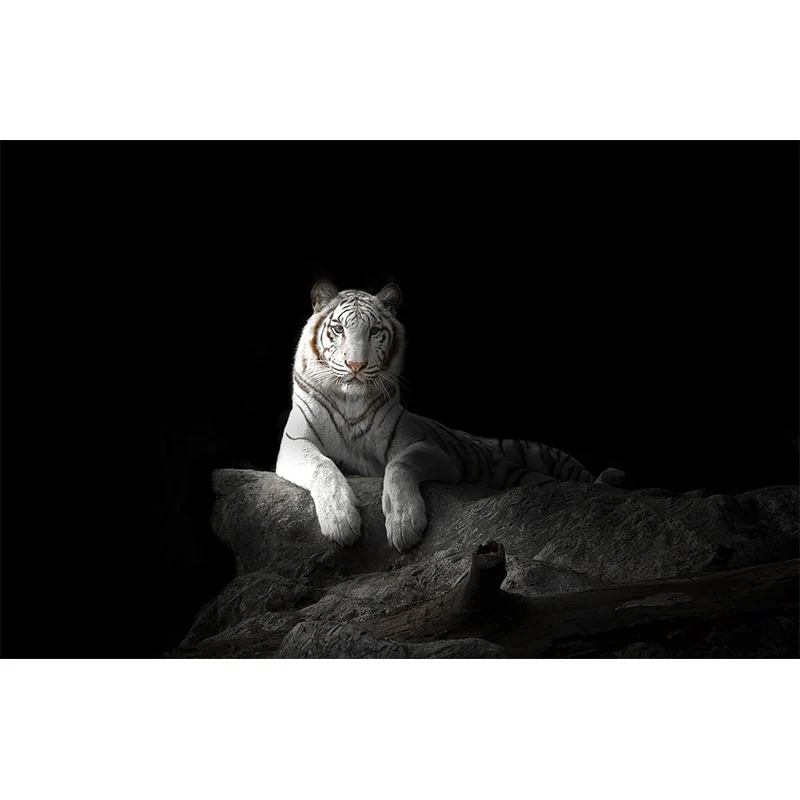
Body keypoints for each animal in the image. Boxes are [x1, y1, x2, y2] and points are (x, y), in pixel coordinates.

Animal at [276, 280, 625, 553]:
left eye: (374, 331)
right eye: (338, 329)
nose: (356, 366)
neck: (349, 399)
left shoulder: (427, 448)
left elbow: (399, 465)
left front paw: (404, 523)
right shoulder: (294, 443)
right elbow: (323, 466)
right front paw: (340, 521)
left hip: (546, 457)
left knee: (582, 481)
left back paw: (611, 479)